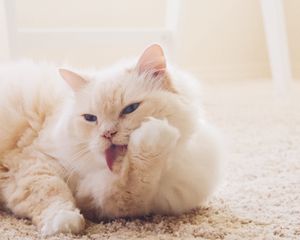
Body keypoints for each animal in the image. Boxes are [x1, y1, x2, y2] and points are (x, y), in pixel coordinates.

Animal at [0, 44, 220, 235]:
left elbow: (131, 187)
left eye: (130, 109)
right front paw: (62, 223)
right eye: (90, 118)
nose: (107, 133)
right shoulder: (33, 163)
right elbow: (50, 191)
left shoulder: (111, 202)